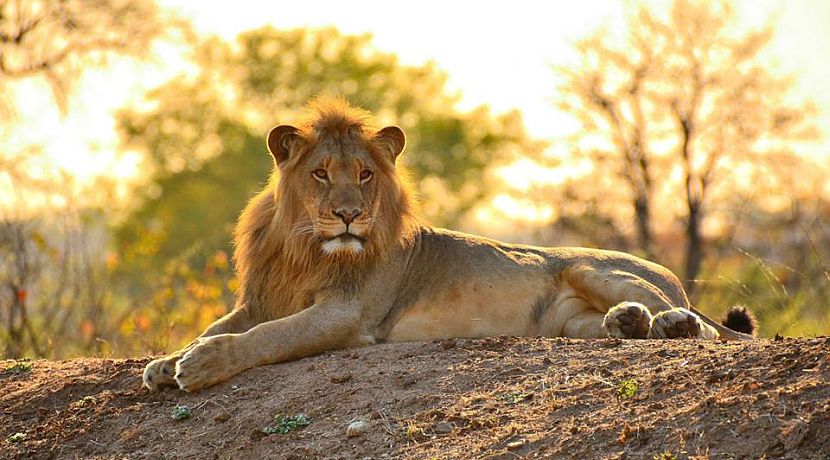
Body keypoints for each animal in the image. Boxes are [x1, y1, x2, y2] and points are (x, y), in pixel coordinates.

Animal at [143, 98, 754, 392]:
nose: (349, 216)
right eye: (320, 174)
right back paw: (627, 324)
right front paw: (165, 362)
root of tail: (672, 280)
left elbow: (268, 337)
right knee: (613, 327)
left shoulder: (347, 313)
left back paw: (669, 324)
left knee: (714, 334)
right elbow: (217, 326)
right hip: (567, 322)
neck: (304, 246)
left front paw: (201, 365)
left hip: (591, 268)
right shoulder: (262, 299)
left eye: (364, 175)